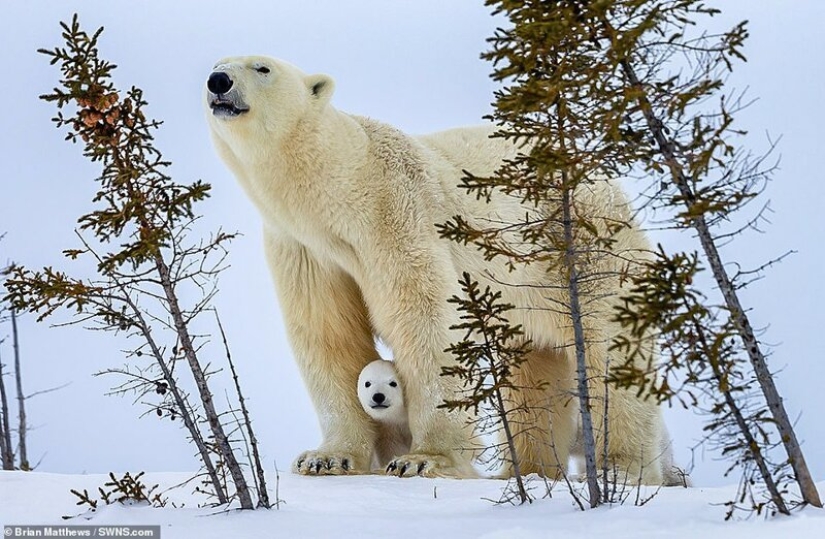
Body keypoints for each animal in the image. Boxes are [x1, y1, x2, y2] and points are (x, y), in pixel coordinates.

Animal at [204, 55, 671, 483]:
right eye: (216, 64)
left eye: (262, 67)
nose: (218, 81)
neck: (340, 192)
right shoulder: (305, 249)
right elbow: (329, 334)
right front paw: (326, 457)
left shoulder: (396, 213)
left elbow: (425, 319)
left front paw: (424, 458)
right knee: (534, 371)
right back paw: (529, 470)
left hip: (582, 251)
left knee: (610, 349)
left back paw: (622, 468)